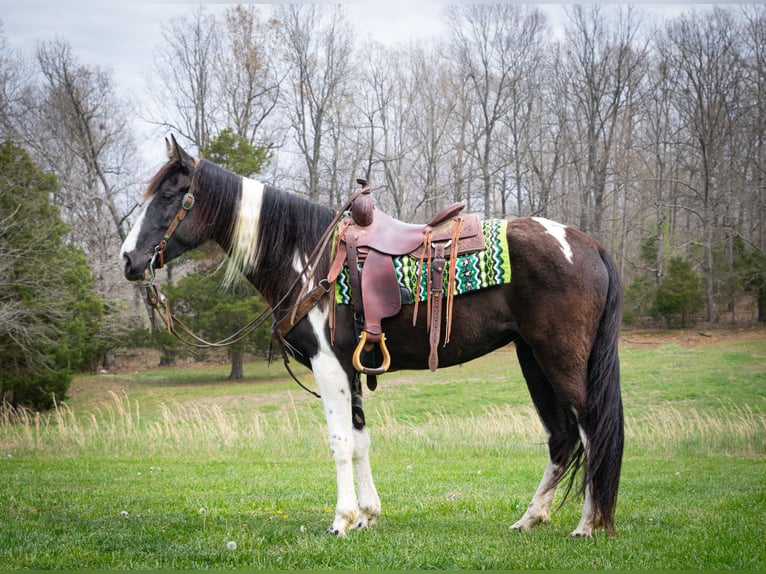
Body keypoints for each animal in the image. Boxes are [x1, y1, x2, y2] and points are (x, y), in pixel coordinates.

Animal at [120, 138, 624, 540]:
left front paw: (341, 520)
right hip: (532, 358)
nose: (127, 260)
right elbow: (361, 440)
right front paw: (366, 515)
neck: (306, 258)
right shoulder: (353, 367)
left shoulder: (328, 365)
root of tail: (588, 244)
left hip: (560, 358)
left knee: (591, 429)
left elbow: (340, 441)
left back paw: (587, 524)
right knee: (562, 437)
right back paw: (531, 518)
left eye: (169, 194)